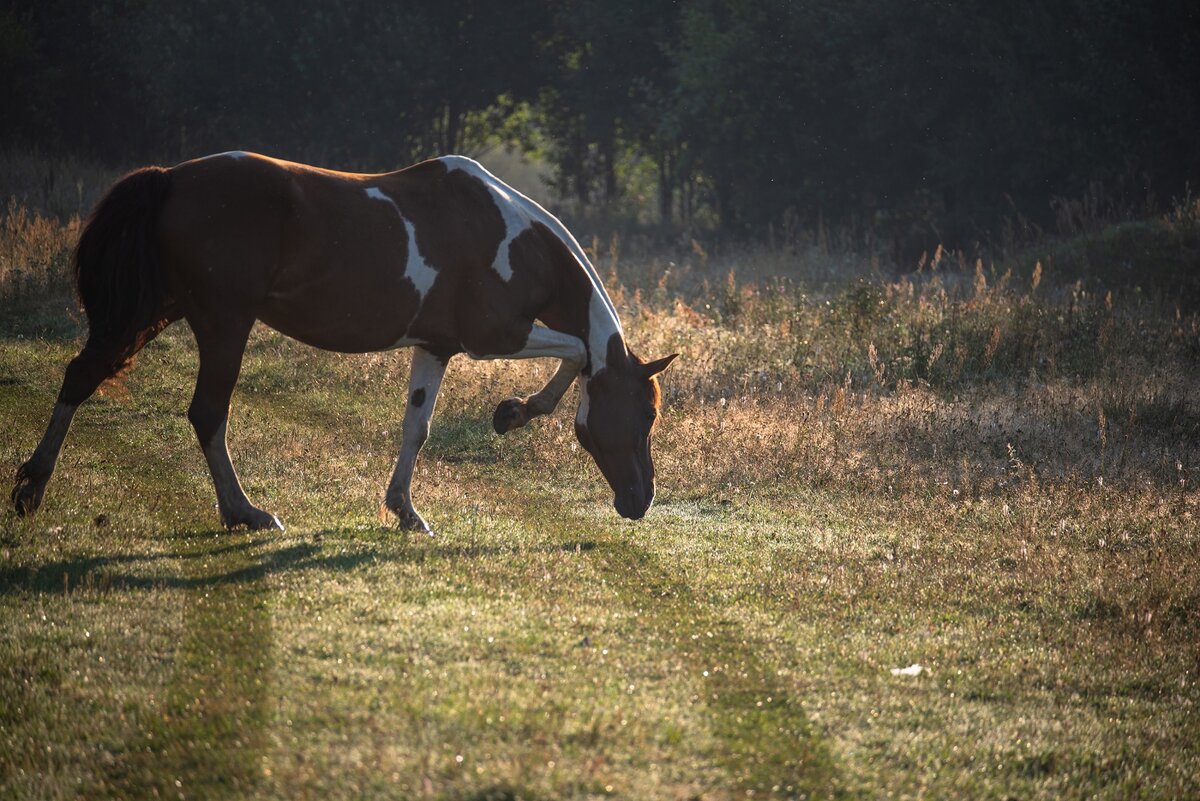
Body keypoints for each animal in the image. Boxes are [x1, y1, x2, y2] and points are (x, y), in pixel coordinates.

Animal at [11, 153, 676, 534]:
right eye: (645, 415)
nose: (640, 501)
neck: (511, 239)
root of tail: (171, 180)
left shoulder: (435, 346)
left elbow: (416, 428)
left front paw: (406, 511)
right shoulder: (495, 335)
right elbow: (580, 352)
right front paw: (515, 412)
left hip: (159, 310)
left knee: (81, 375)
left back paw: (31, 488)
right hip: (222, 323)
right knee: (206, 413)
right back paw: (244, 513)